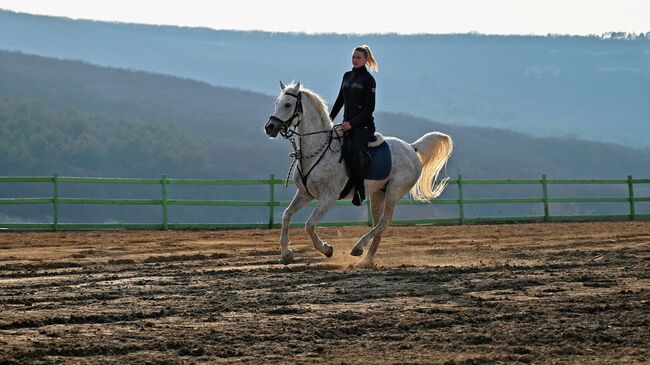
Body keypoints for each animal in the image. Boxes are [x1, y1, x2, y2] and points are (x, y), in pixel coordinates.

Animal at [264, 81, 450, 266]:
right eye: (276, 103)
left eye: (288, 104)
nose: (269, 127)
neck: (318, 151)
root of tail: (411, 147)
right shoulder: (305, 194)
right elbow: (286, 215)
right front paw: (286, 253)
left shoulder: (328, 197)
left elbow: (309, 225)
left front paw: (327, 249)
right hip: (378, 194)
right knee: (379, 225)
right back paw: (366, 260)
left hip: (394, 192)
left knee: (384, 222)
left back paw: (358, 248)